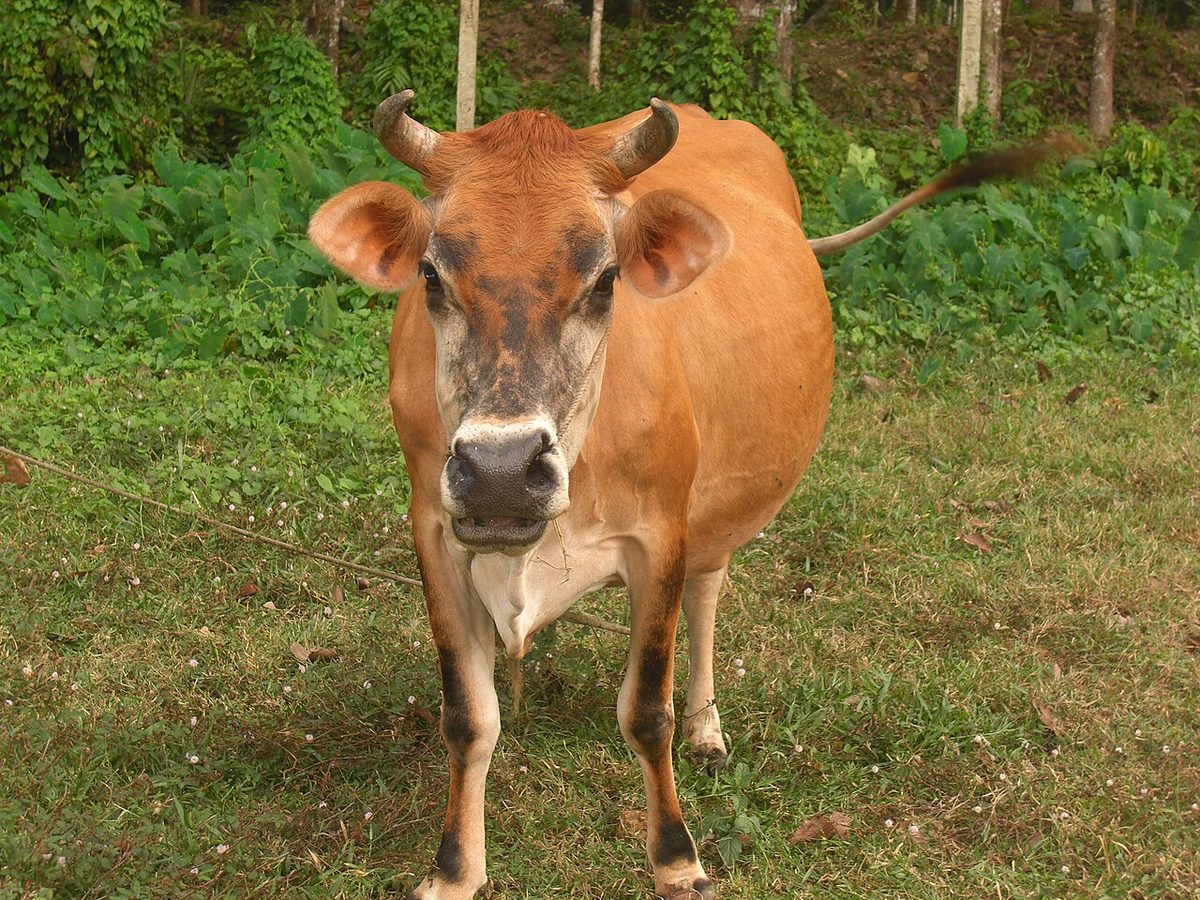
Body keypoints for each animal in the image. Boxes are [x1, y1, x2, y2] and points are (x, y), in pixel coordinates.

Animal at [308, 91, 1055, 899]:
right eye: (431, 275)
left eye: (605, 278)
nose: (501, 468)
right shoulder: (436, 532)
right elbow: (467, 715)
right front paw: (453, 869)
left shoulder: (659, 535)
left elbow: (645, 711)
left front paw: (676, 857)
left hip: (712, 515)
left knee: (707, 597)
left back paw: (705, 726)